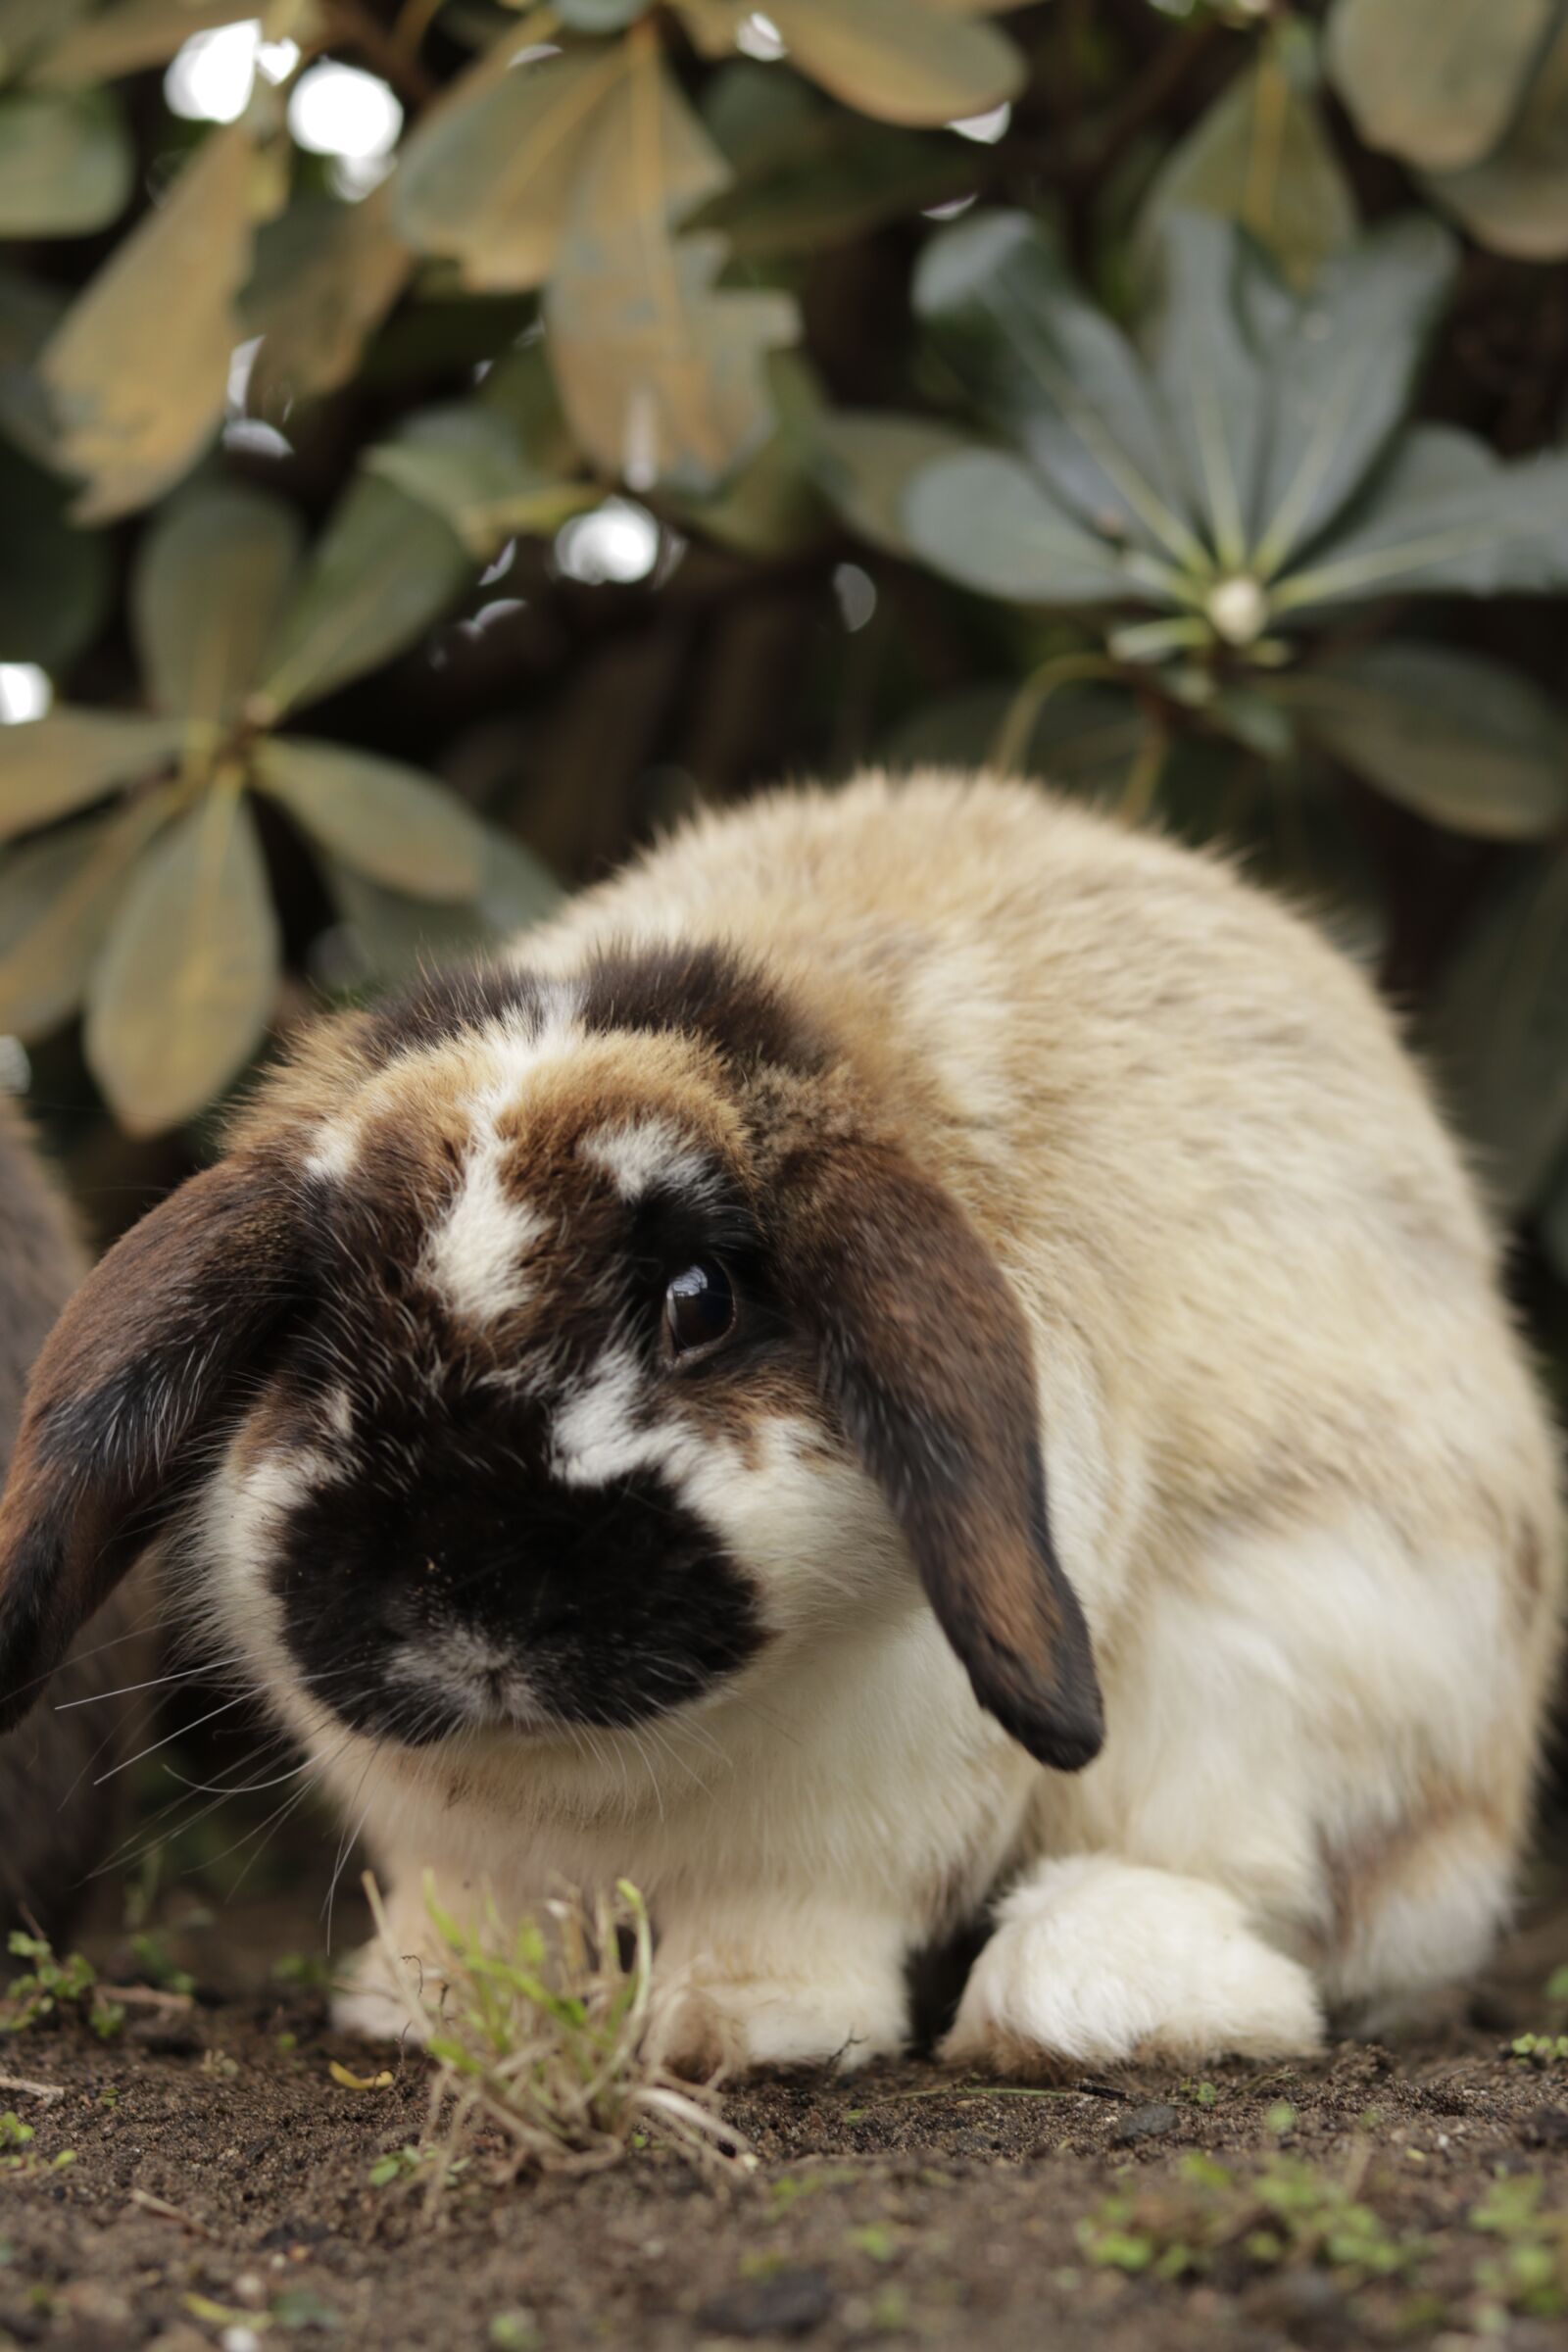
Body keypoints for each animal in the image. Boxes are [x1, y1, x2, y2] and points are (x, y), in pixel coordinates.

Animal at [0, 772, 1558, 2072]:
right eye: (312, 1325)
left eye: (698, 1301)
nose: (466, 1596)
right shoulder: (463, 1854)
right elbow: (481, 1918)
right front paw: (443, 2018)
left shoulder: (837, 1833)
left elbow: (785, 1925)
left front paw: (733, 2033)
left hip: (1292, 1666)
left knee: (1237, 1881)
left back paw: (1082, 2000)